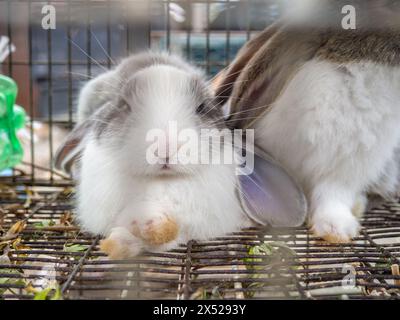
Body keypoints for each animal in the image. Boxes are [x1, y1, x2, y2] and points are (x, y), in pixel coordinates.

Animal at [54, 52, 306, 258]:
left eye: (202, 108)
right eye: (124, 106)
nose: (166, 148)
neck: (163, 183)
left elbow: (167, 235)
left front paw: (148, 225)